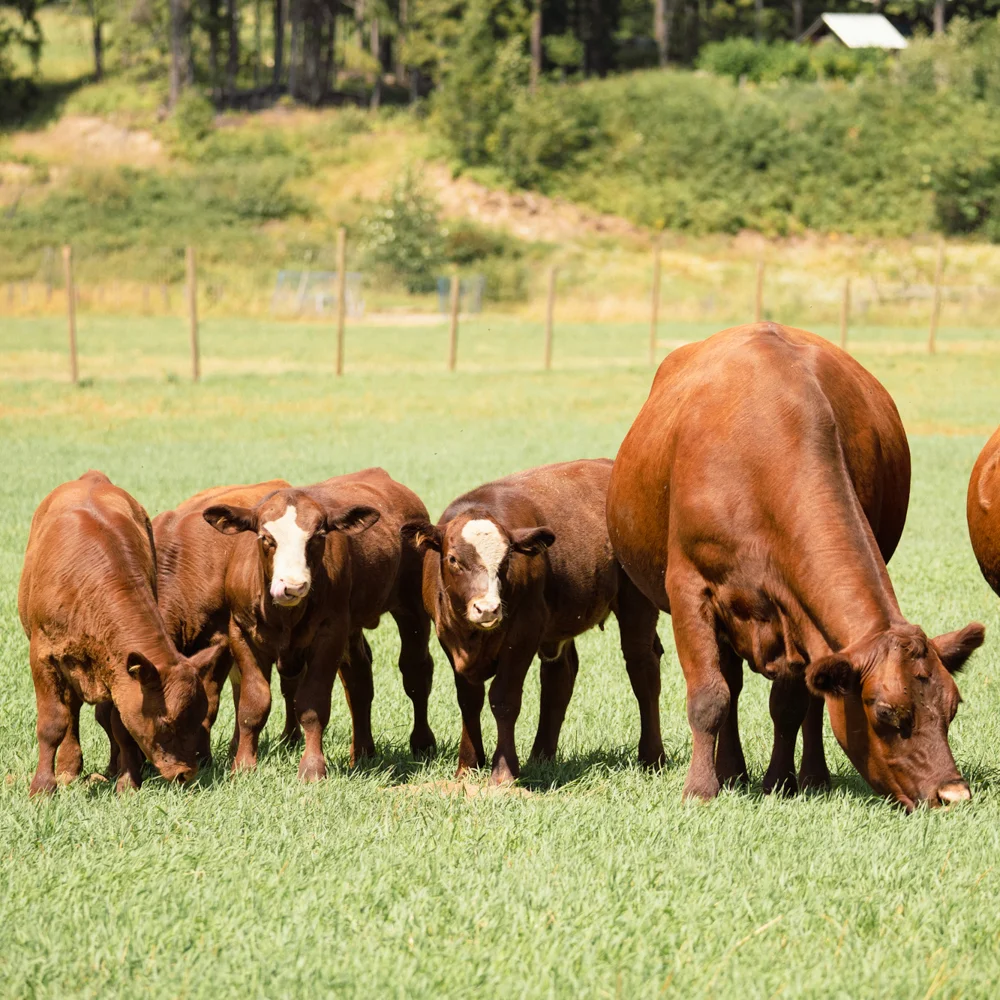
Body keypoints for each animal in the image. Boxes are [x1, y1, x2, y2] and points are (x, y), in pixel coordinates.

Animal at [18, 471, 224, 796]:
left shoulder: (119, 671)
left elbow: (121, 724)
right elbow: (53, 723)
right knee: (70, 712)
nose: (185, 774)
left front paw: (127, 783)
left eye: (199, 716)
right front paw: (42, 788)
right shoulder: (43, 657)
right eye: (166, 723)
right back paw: (67, 769)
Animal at [161, 468, 436, 781]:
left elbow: (312, 705)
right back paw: (362, 752)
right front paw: (243, 766)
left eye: (318, 536)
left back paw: (423, 743)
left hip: (412, 608)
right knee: (359, 678)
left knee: (416, 673)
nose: (293, 586)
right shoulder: (241, 634)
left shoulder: (330, 634)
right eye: (266, 537)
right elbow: (253, 704)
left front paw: (312, 768)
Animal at [403, 459, 664, 786]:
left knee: (642, 669)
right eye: (453, 559)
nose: (487, 608)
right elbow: (469, 699)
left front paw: (503, 772)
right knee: (559, 679)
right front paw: (467, 766)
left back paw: (652, 757)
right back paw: (541, 757)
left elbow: (504, 698)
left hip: (636, 604)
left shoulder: (523, 634)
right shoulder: (448, 638)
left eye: (506, 560)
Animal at [607, 323, 985, 810]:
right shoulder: (690, 589)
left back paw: (809, 776)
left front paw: (781, 781)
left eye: (953, 707)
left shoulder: (796, 614)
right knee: (728, 684)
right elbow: (710, 696)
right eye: (885, 712)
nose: (953, 793)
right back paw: (730, 772)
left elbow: (791, 704)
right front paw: (701, 789)